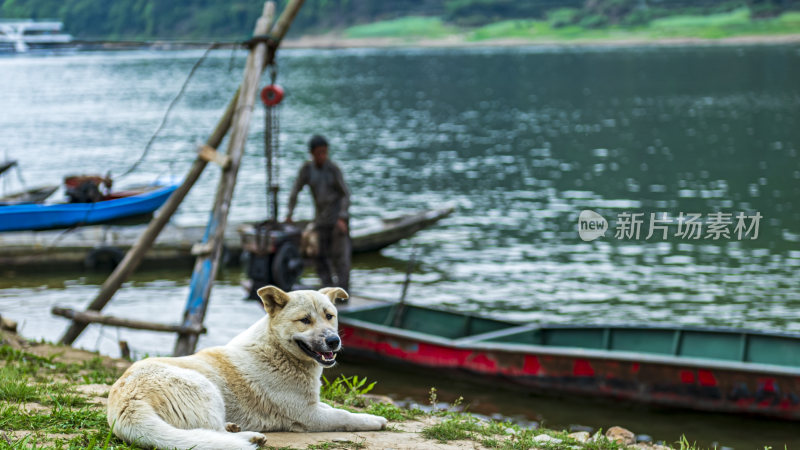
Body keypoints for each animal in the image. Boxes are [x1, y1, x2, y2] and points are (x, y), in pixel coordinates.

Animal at [106, 286, 388, 448]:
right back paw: (248, 438)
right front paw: (374, 420)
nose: (333, 340)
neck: (278, 350)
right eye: (305, 320)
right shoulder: (308, 416)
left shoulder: (313, 406)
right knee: (208, 434)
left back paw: (236, 429)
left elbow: (336, 408)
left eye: (330, 316)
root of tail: (125, 403)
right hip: (204, 387)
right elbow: (345, 416)